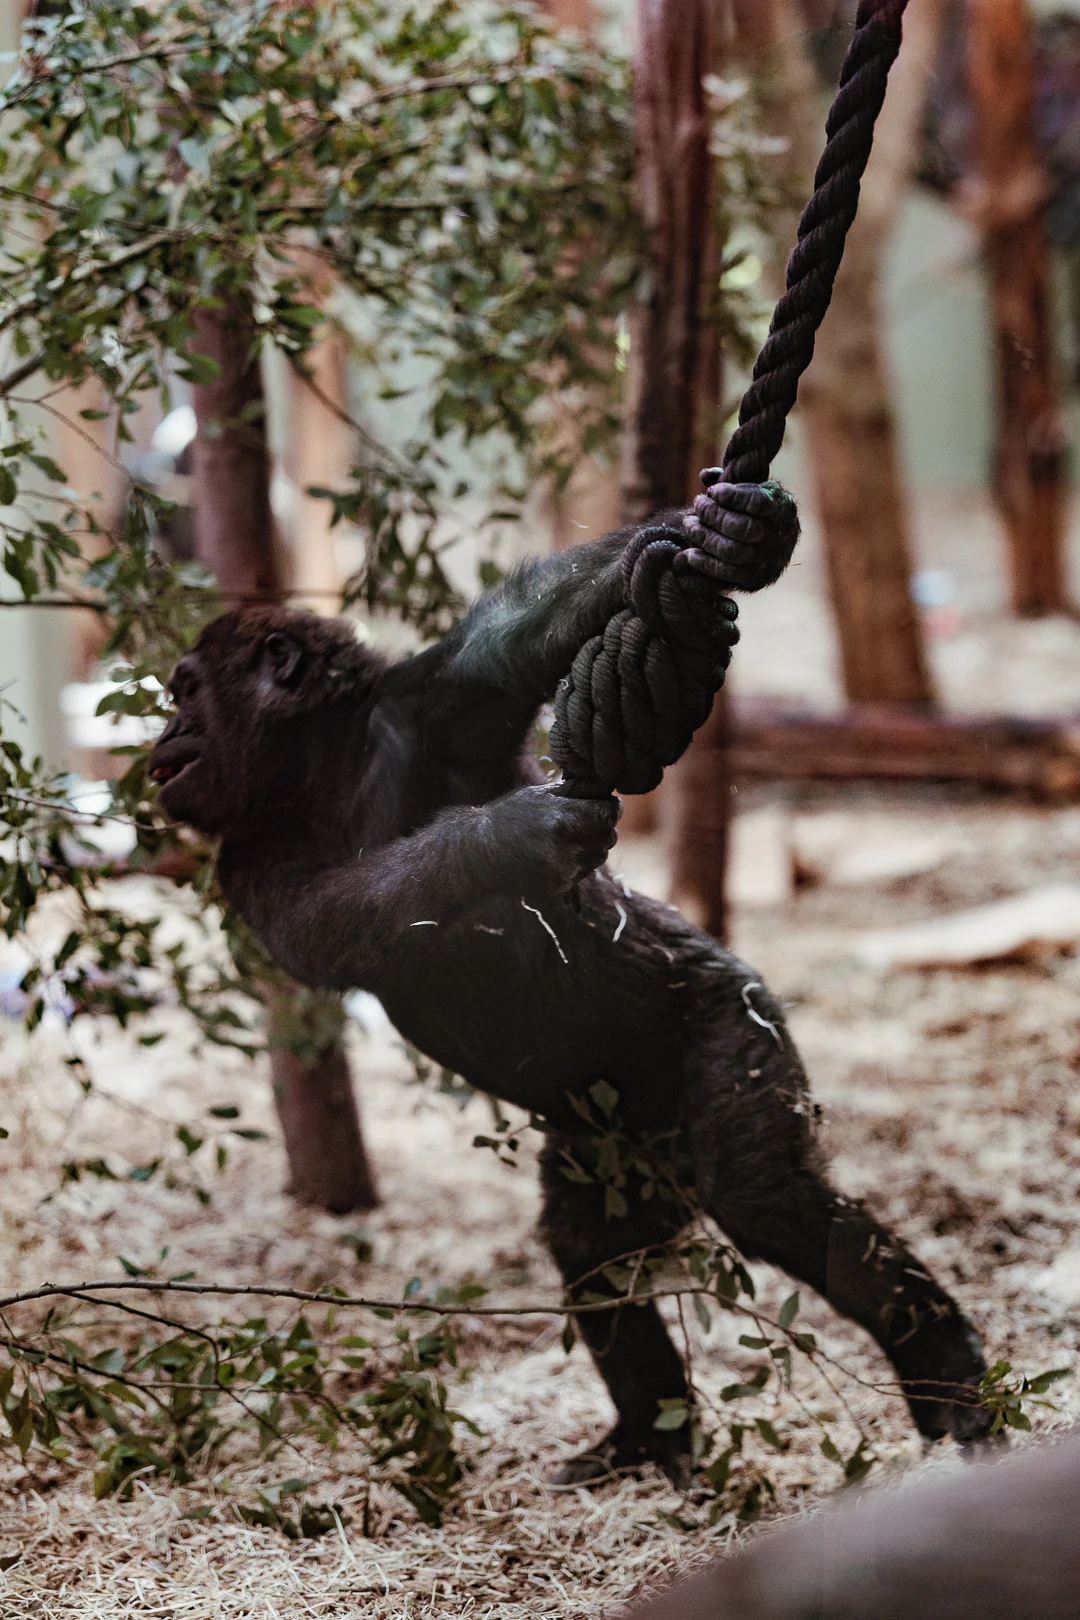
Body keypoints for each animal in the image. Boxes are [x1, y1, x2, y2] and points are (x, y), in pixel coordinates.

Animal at [149, 477, 992, 1486]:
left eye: (186, 692)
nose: (163, 735)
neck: (320, 769)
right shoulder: (248, 860)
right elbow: (349, 911)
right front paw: (517, 834)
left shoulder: (430, 702)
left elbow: (526, 631)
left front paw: (731, 536)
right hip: (610, 1152)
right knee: (594, 1253)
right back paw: (648, 1434)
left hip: (733, 1023)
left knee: (769, 1199)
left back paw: (945, 1371)